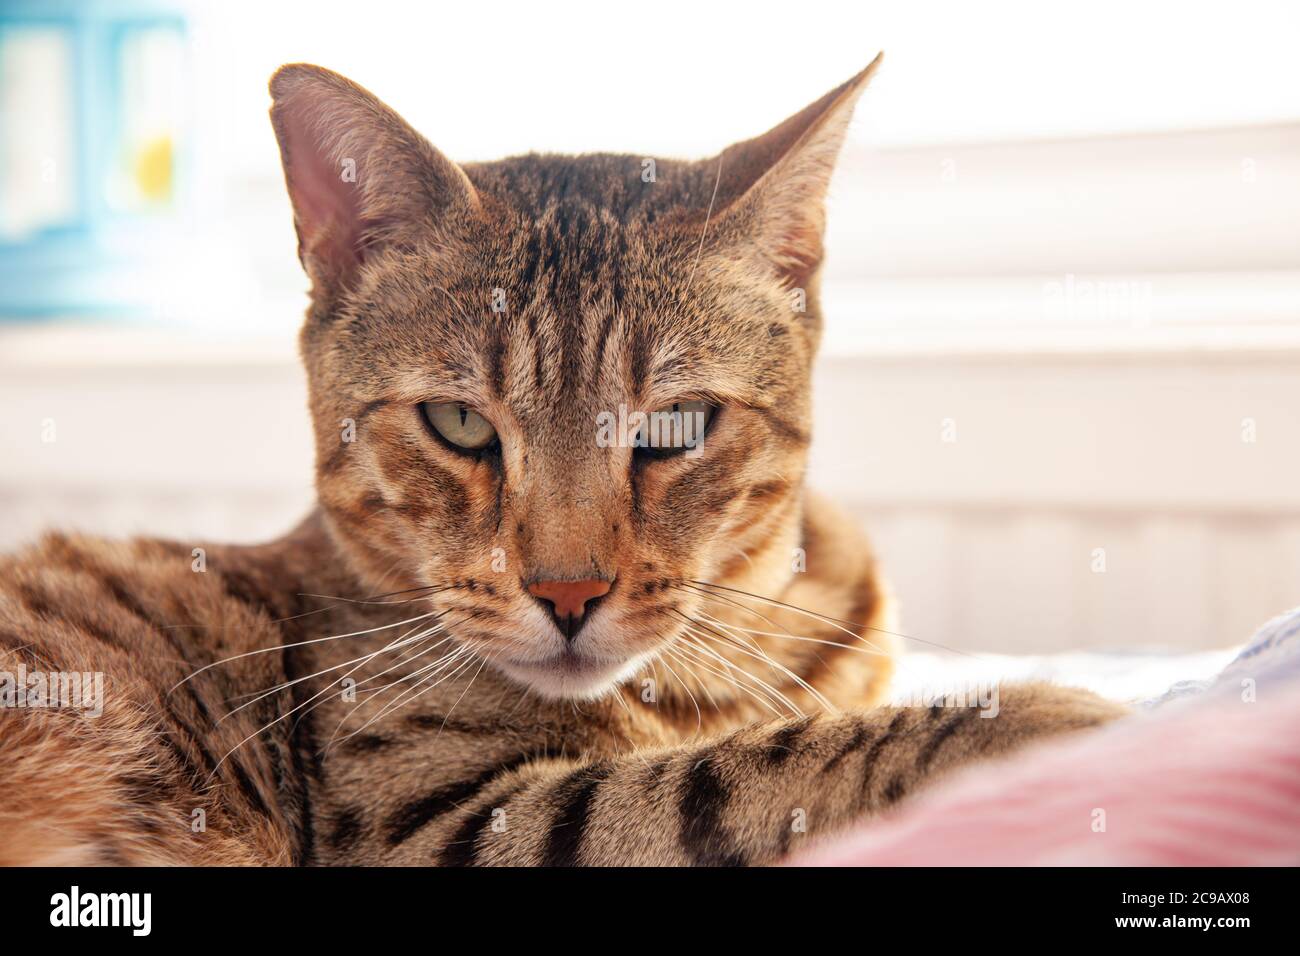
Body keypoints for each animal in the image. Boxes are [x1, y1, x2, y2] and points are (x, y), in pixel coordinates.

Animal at [0, 57, 1118, 868]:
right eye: (458, 421)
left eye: (676, 426)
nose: (569, 592)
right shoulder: (436, 827)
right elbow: (723, 777)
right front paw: (1026, 720)